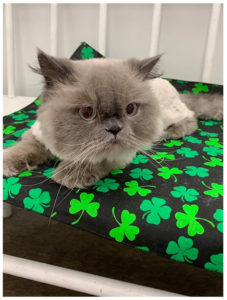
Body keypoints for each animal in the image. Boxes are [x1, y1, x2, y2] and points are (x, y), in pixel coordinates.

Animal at [3, 50, 223, 189]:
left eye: (130, 109)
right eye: (87, 112)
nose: (115, 129)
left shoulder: (121, 153)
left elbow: (93, 158)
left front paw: (68, 175)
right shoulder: (38, 136)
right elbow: (23, 149)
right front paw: (7, 164)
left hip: (169, 114)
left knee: (190, 117)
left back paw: (170, 133)